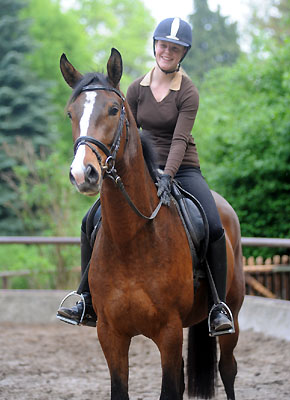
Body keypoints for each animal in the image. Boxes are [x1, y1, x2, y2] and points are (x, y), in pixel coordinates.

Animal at [60, 48, 245, 398]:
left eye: (114, 109)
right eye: (70, 114)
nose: (82, 174)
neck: (130, 239)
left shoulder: (168, 333)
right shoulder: (110, 335)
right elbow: (121, 389)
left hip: (232, 315)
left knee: (227, 369)